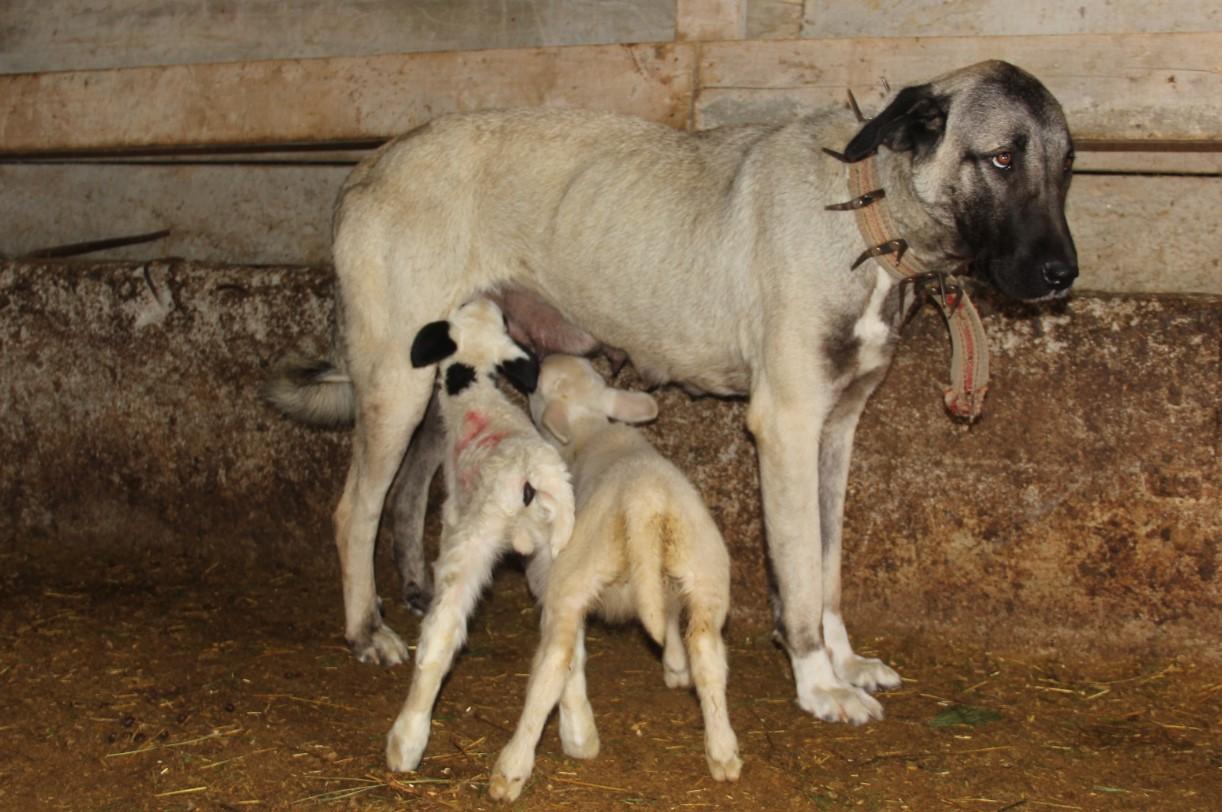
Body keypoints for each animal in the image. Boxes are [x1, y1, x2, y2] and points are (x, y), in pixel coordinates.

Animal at [270, 61, 1080, 723]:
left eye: (1068, 166)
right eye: (1001, 158)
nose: (1062, 275)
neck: (865, 209)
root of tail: (367, 165)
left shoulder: (836, 431)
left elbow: (827, 566)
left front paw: (843, 660)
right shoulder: (787, 426)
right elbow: (801, 572)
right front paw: (817, 681)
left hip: (449, 379)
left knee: (410, 489)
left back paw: (414, 589)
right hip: (395, 386)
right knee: (355, 508)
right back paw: (366, 630)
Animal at [383, 298, 574, 772]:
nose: (487, 299)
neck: (478, 394)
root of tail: (533, 477)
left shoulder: (454, 516)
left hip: (473, 543)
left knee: (440, 636)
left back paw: (406, 742)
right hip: (557, 553)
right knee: (562, 647)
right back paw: (568, 739)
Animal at [488, 354, 738, 797]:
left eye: (537, 387)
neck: (591, 431)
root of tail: (645, 499)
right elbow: (667, 613)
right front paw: (675, 666)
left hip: (571, 581)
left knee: (553, 665)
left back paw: (512, 766)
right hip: (705, 570)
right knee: (708, 655)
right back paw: (723, 750)